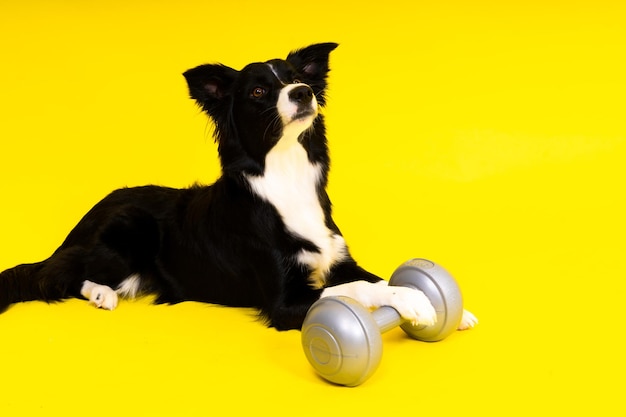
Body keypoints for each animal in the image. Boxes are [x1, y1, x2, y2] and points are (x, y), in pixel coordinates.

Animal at [0, 44, 472, 330]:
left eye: (298, 76)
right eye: (259, 91)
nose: (303, 92)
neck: (285, 174)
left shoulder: (339, 260)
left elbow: (377, 277)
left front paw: (447, 305)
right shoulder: (285, 302)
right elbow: (357, 290)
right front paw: (414, 302)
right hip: (127, 228)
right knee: (58, 275)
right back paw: (101, 294)